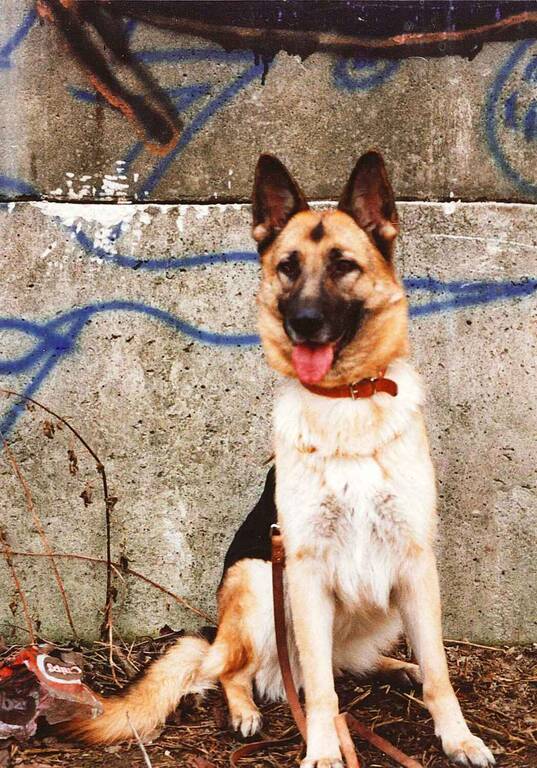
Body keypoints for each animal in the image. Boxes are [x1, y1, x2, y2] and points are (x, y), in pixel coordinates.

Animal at [66, 153, 494, 764]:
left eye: (343, 265)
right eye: (288, 267)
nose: (305, 323)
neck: (347, 402)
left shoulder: (415, 566)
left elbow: (438, 670)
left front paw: (456, 737)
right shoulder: (305, 573)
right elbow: (317, 688)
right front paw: (324, 749)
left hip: (382, 607)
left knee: (349, 662)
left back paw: (395, 666)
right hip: (258, 581)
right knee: (232, 669)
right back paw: (245, 708)